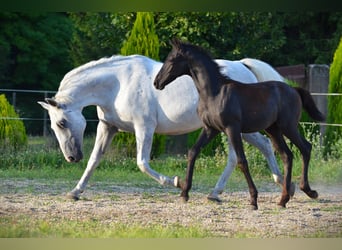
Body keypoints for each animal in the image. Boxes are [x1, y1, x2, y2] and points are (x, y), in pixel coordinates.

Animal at [38, 54, 292, 201]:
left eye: (61, 122)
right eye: (55, 126)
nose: (71, 157)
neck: (118, 84)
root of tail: (243, 65)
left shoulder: (144, 127)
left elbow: (142, 163)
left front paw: (176, 182)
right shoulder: (108, 127)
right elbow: (94, 160)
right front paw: (75, 191)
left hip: (235, 127)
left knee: (241, 154)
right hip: (242, 129)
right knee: (264, 145)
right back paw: (278, 183)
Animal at [154, 39, 324, 209]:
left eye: (171, 60)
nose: (157, 83)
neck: (215, 93)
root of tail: (294, 90)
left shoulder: (232, 129)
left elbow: (242, 161)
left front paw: (253, 200)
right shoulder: (211, 129)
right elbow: (192, 152)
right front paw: (184, 193)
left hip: (288, 127)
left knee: (305, 148)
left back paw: (309, 191)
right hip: (273, 130)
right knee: (287, 155)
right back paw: (284, 199)